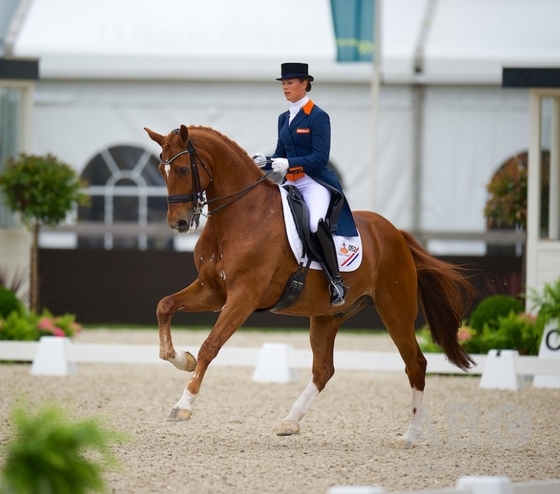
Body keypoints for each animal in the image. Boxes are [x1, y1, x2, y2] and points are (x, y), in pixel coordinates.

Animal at [147, 123, 474, 448]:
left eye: (181, 169)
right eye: (161, 170)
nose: (178, 223)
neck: (241, 214)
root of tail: (396, 233)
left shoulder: (244, 296)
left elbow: (210, 345)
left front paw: (183, 405)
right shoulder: (213, 291)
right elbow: (164, 305)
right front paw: (181, 359)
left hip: (396, 310)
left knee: (416, 363)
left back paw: (410, 435)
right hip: (327, 316)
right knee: (323, 370)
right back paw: (290, 421)